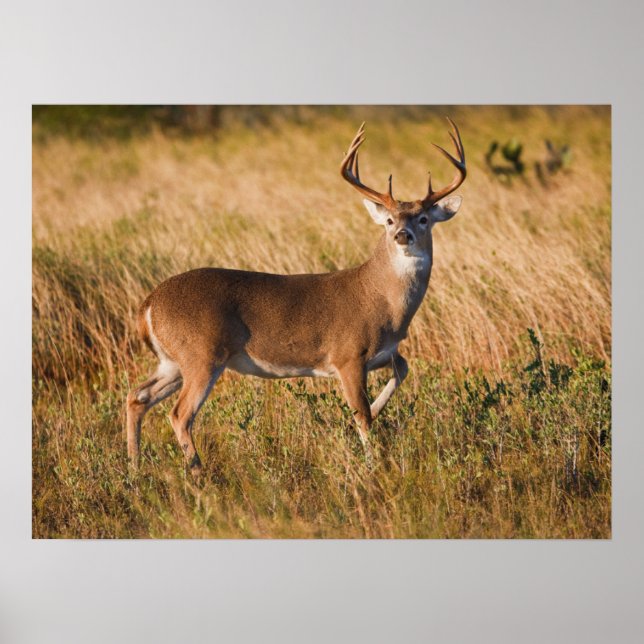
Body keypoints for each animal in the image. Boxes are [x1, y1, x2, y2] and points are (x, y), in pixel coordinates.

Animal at [126, 118, 466, 476]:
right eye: (388, 220)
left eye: (423, 218)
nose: (403, 235)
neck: (382, 300)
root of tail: (148, 305)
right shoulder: (347, 355)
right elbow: (363, 416)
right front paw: (373, 466)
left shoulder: (385, 353)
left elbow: (402, 369)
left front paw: (372, 413)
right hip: (201, 355)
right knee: (179, 414)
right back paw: (198, 474)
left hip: (171, 360)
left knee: (137, 396)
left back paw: (134, 469)